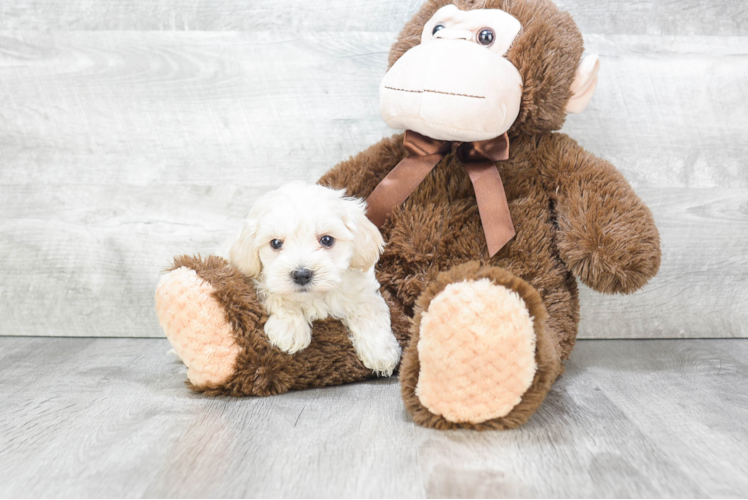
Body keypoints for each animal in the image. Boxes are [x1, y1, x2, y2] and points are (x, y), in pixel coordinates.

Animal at [229, 183, 400, 376]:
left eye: (327, 240)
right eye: (275, 243)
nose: (301, 274)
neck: (314, 295)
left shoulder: (362, 291)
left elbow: (369, 312)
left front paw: (381, 353)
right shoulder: (260, 282)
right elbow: (278, 297)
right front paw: (290, 329)